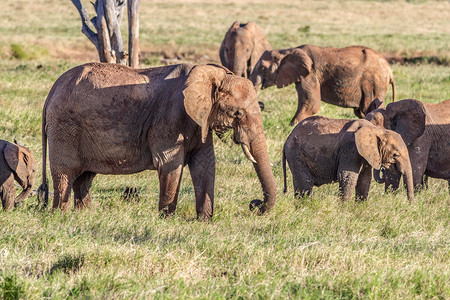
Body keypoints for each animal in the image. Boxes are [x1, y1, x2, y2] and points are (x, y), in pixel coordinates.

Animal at [37, 61, 278, 220]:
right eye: (237, 113)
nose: (255, 205)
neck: (212, 73)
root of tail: (51, 91)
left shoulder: (200, 120)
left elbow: (205, 164)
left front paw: (204, 221)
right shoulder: (170, 119)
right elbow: (170, 164)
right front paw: (167, 220)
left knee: (84, 177)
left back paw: (84, 215)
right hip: (65, 127)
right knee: (66, 173)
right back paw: (60, 216)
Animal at [251, 44, 396, 125]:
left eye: (262, 68)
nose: (262, 105)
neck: (286, 51)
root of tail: (389, 70)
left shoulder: (311, 74)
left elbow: (311, 104)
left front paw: (292, 126)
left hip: (373, 82)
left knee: (369, 107)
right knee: (360, 111)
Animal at [282, 115, 414, 202]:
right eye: (395, 155)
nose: (410, 204)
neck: (376, 130)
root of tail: (287, 139)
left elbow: (364, 179)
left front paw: (359, 208)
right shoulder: (351, 149)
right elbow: (347, 177)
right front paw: (343, 210)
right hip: (296, 155)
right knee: (305, 186)